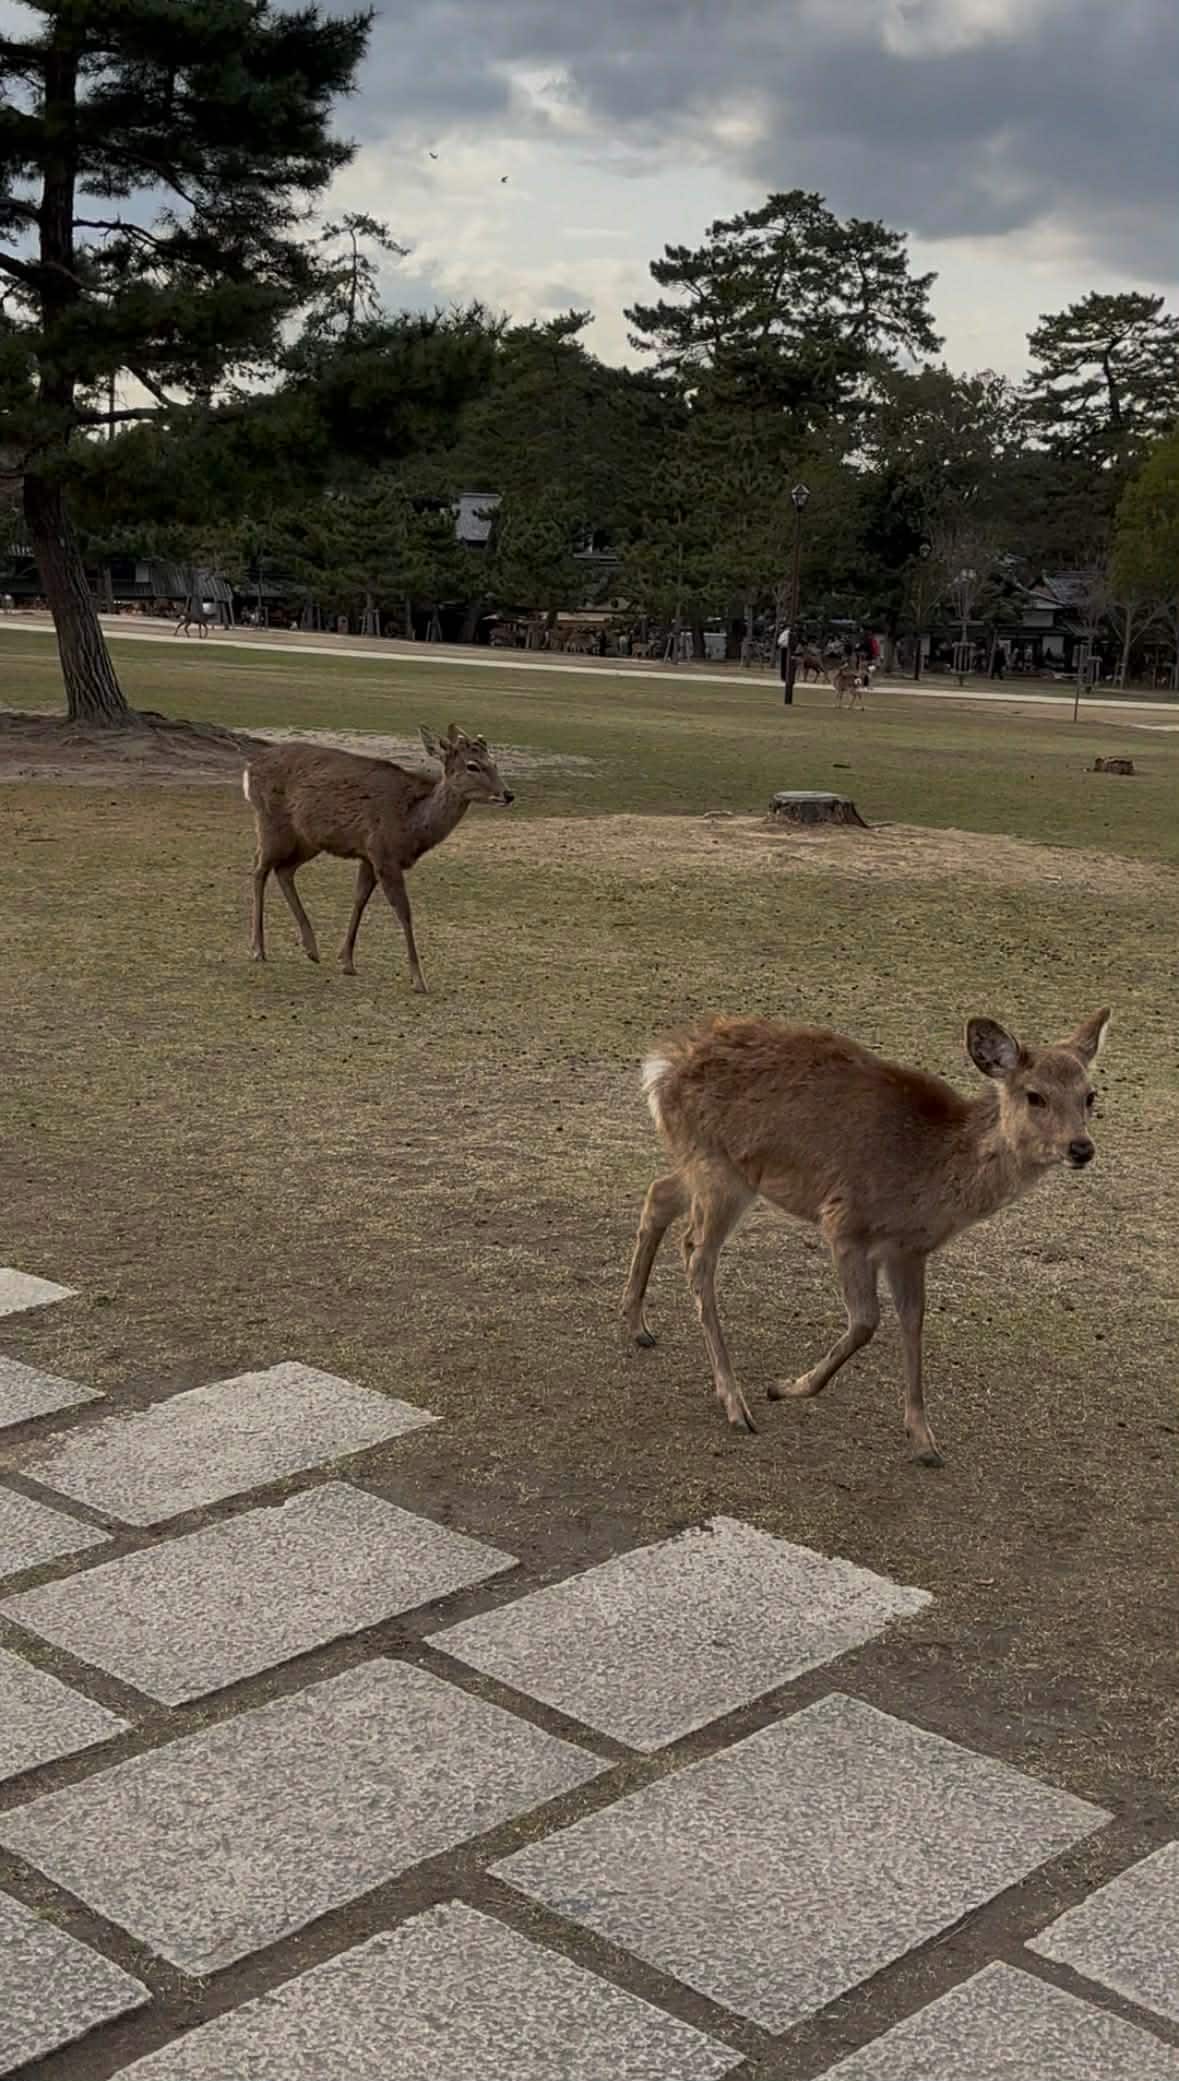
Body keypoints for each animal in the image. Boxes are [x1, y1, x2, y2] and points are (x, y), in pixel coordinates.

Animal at [242, 724, 513, 993]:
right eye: (472, 765)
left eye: (494, 762)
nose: (508, 794)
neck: (412, 826)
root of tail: (249, 768)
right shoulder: (384, 854)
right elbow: (404, 911)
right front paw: (418, 979)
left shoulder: (368, 856)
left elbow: (360, 899)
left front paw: (347, 961)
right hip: (271, 822)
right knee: (259, 867)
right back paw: (258, 948)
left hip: (308, 839)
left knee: (284, 870)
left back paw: (311, 948)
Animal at [622, 1007, 1110, 1464]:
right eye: (1035, 1096)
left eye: (1090, 1095)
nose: (1081, 1148)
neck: (932, 1176)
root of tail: (661, 1066)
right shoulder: (845, 1222)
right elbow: (865, 1322)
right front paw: (784, 1387)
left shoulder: (910, 1249)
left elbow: (913, 1323)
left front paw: (924, 1441)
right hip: (718, 1169)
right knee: (697, 1255)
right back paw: (735, 1403)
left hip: (713, 1167)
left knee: (658, 1195)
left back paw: (637, 1325)